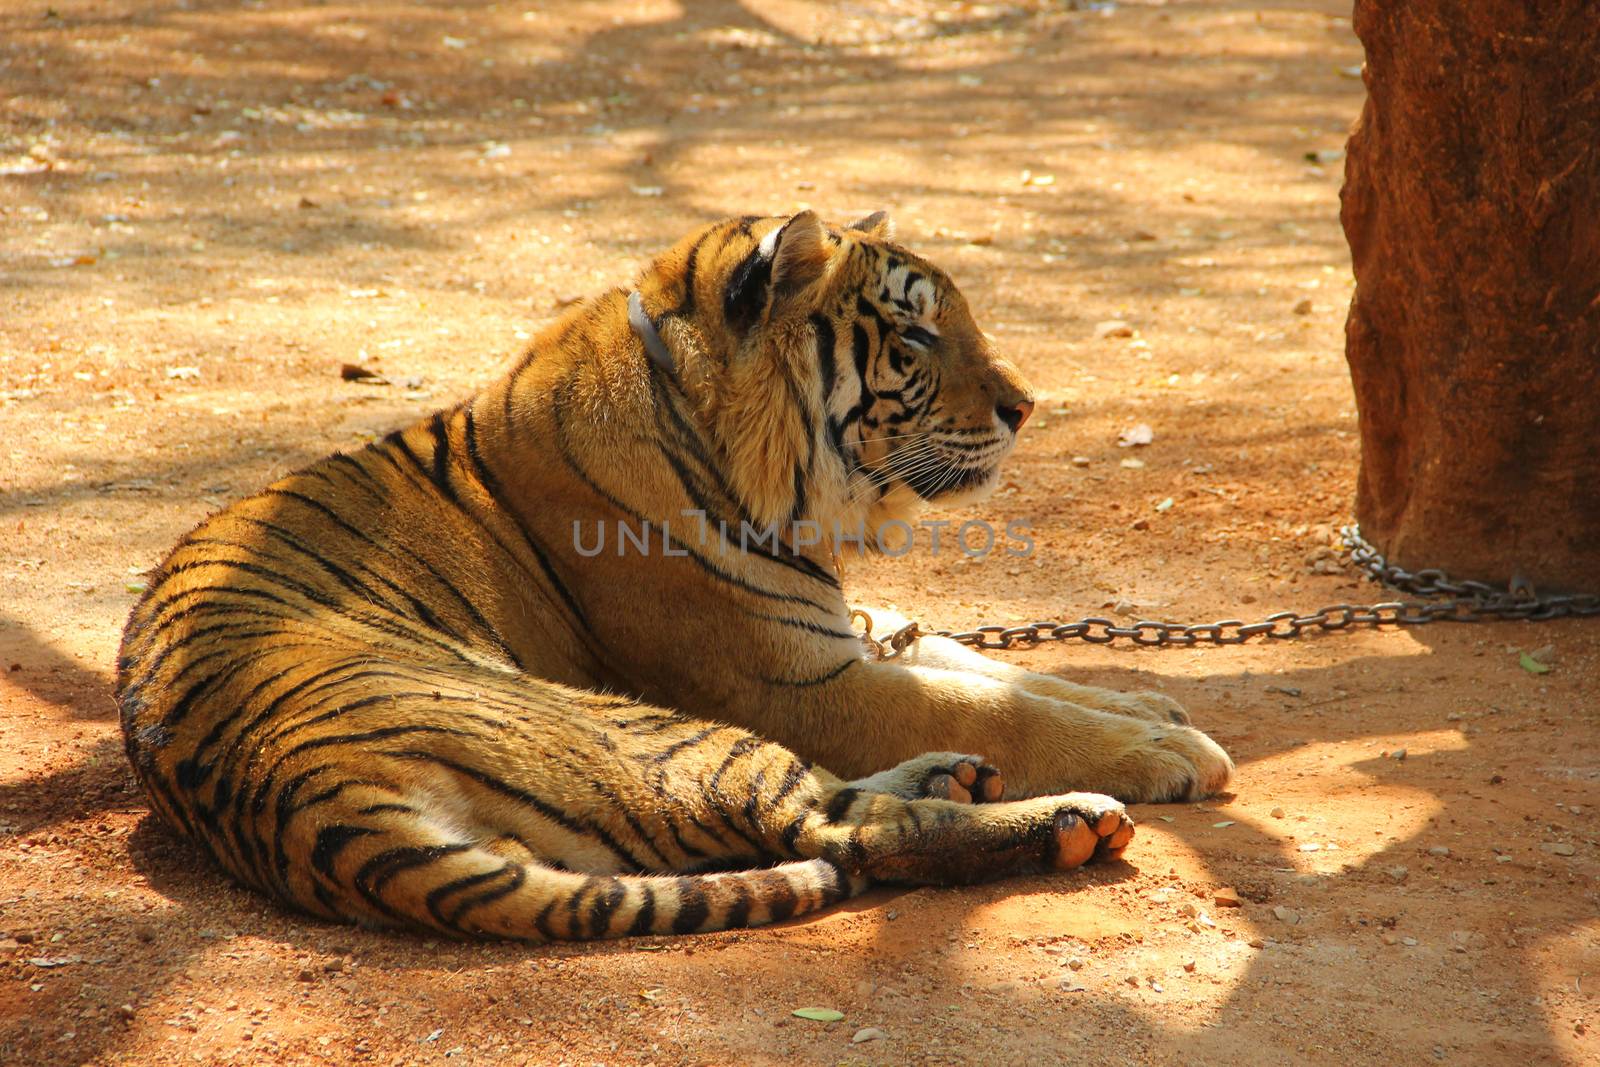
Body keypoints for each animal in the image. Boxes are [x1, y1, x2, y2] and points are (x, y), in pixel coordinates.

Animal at [116, 211, 1235, 940]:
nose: (1026, 405)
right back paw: (1066, 819)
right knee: (841, 826)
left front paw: (1147, 704)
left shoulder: (844, 632)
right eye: (916, 333)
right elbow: (1000, 707)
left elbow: (997, 668)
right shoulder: (792, 680)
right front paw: (1164, 747)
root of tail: (307, 804)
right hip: (648, 728)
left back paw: (959, 777)